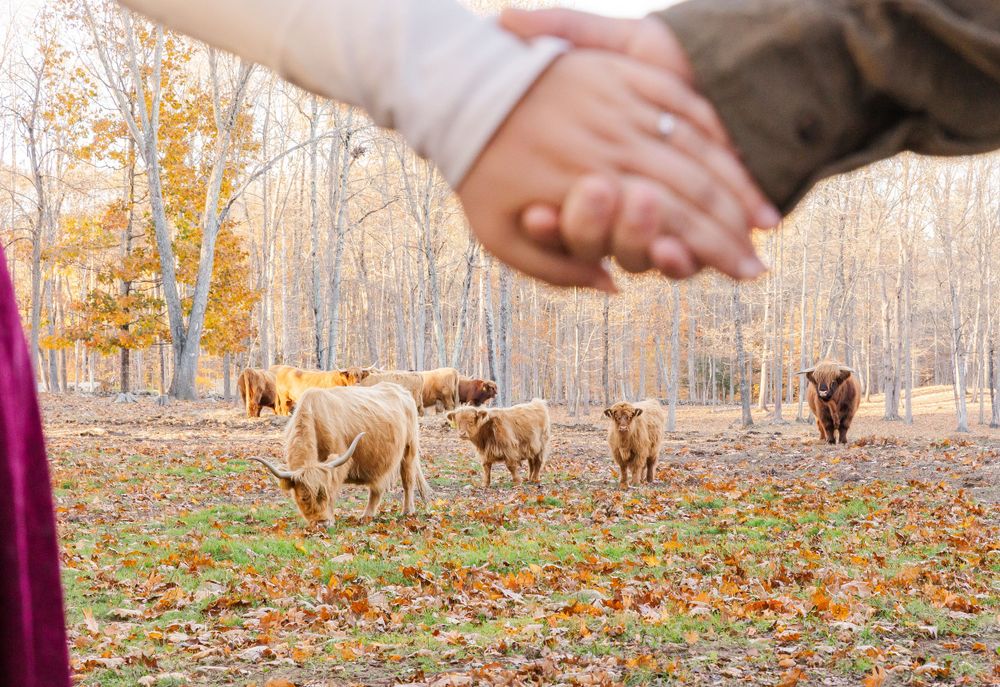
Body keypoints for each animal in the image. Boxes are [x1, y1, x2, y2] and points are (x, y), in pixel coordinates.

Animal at [249, 383, 431, 525]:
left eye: (326, 494)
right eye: (303, 498)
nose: (322, 523)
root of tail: (401, 390)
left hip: (409, 449)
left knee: (406, 480)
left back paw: (405, 512)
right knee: (378, 488)